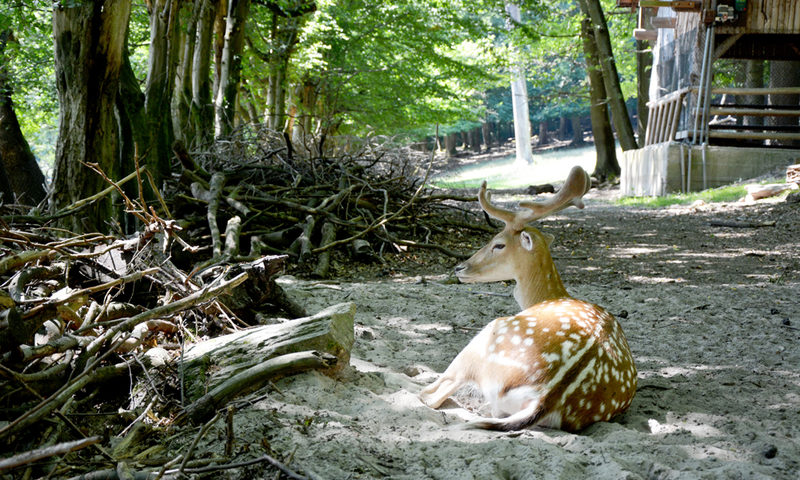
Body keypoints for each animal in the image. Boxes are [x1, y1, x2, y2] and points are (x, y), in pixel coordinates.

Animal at [418, 166, 636, 432]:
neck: (549, 295)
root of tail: (543, 397)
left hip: (488, 334)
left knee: (432, 394)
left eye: (499, 244)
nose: (460, 268)